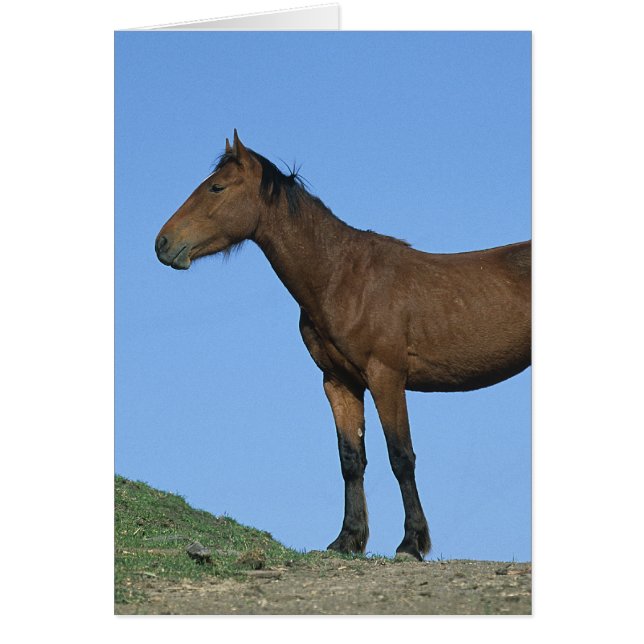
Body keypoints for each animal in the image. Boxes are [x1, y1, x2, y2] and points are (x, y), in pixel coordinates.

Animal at [155, 130, 531, 561]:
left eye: (216, 187)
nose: (163, 243)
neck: (341, 276)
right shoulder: (339, 382)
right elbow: (351, 460)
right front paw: (348, 539)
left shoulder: (386, 377)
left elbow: (401, 456)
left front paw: (411, 543)